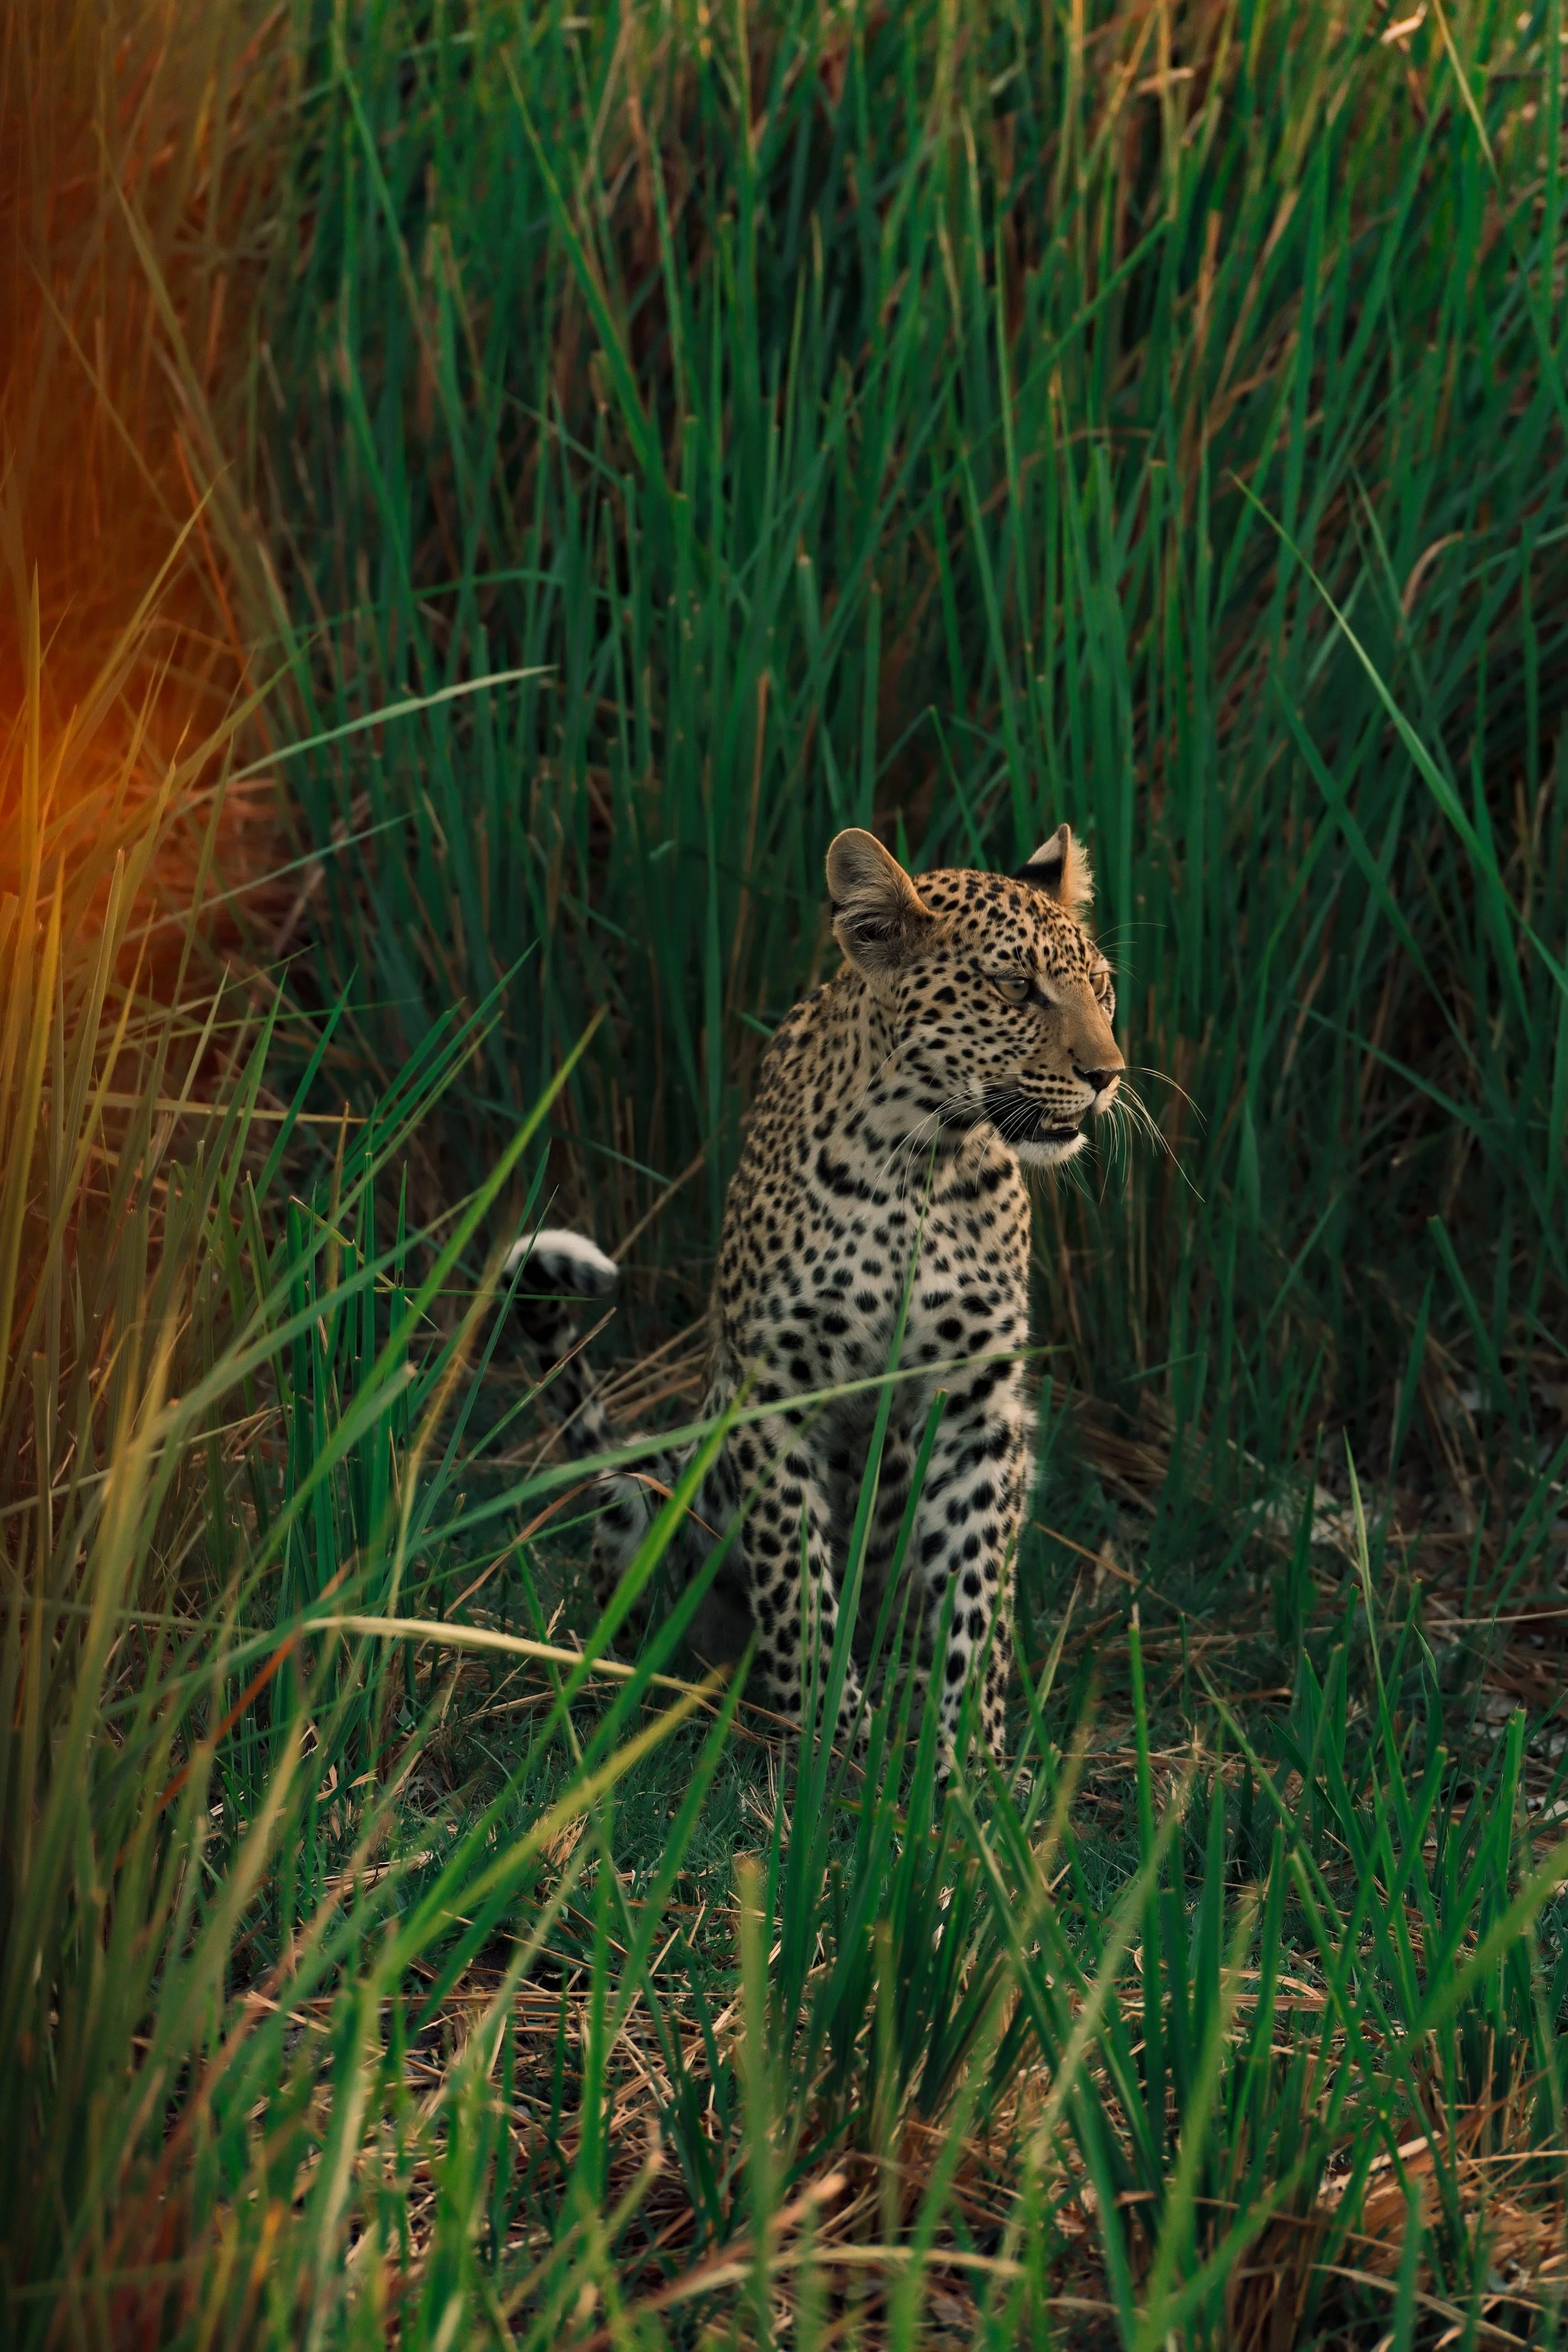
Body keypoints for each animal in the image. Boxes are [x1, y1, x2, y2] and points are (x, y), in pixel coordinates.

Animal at [510, 821, 1124, 1771]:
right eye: (1015, 986)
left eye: (1102, 990)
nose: (1109, 1074)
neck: (926, 1161)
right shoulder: (772, 1391)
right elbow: (796, 1587)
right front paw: (832, 1747)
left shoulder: (981, 1410)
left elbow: (974, 1598)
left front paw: (968, 1769)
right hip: (643, 1496)